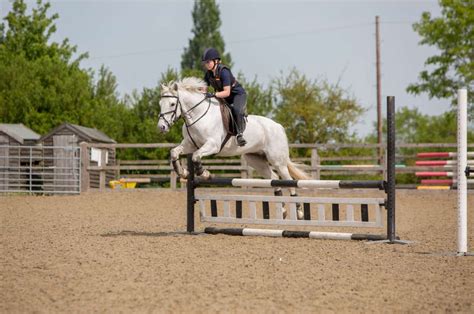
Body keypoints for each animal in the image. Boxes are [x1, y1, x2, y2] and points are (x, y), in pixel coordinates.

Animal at [157, 77, 310, 216]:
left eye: (172, 104)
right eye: (160, 103)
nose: (161, 127)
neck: (198, 115)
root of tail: (278, 126)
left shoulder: (212, 145)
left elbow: (195, 157)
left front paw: (205, 174)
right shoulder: (189, 144)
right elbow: (174, 152)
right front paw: (182, 172)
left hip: (277, 161)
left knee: (289, 180)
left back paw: (299, 211)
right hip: (256, 160)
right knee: (274, 178)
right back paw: (282, 210)